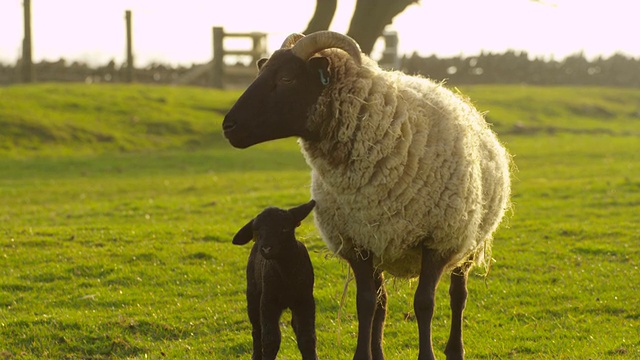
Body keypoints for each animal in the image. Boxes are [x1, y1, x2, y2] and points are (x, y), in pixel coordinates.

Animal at [232, 200, 318, 360]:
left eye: (284, 228)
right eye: (257, 232)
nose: (266, 249)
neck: (286, 273)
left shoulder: (305, 300)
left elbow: (307, 338)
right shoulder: (268, 301)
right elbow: (270, 339)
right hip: (252, 296)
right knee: (257, 330)